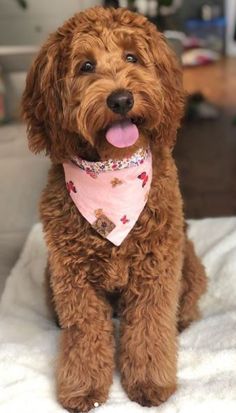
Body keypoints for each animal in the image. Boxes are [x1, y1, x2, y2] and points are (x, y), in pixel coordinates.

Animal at [22, 7, 206, 412]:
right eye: (86, 65)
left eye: (132, 57)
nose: (121, 100)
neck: (112, 171)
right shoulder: (73, 278)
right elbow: (85, 333)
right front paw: (83, 388)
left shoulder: (156, 270)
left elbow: (150, 329)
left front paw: (150, 383)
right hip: (49, 277)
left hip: (188, 261)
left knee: (186, 299)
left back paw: (182, 321)